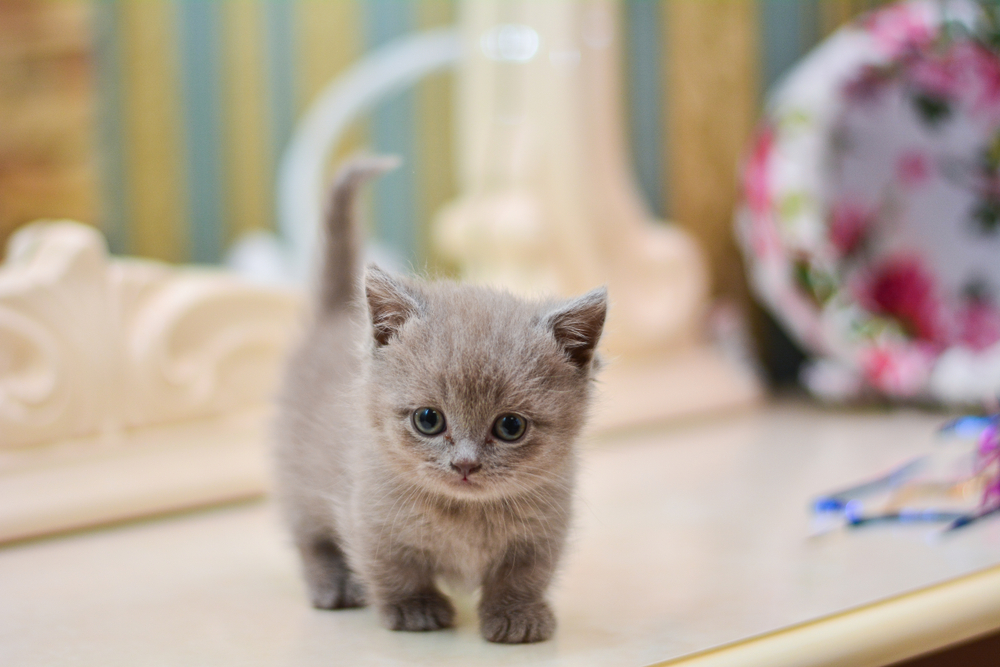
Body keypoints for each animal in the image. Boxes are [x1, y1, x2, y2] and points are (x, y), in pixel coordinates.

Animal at [270, 158, 604, 648]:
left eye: (510, 427)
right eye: (428, 420)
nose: (465, 464)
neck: (464, 513)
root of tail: (335, 316)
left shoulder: (544, 528)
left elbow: (523, 575)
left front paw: (518, 615)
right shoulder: (369, 516)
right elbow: (392, 569)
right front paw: (416, 609)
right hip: (298, 476)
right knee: (310, 537)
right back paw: (332, 584)